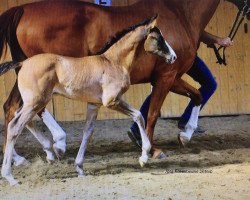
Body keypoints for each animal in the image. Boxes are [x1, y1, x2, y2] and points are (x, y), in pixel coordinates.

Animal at [0, 16, 176, 186]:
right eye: (156, 37)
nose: (173, 57)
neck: (114, 62)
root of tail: (22, 63)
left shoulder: (94, 105)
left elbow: (87, 132)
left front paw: (79, 168)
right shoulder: (111, 101)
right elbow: (138, 115)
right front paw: (144, 157)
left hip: (33, 103)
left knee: (20, 120)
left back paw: (50, 152)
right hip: (36, 102)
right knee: (15, 126)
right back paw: (11, 176)